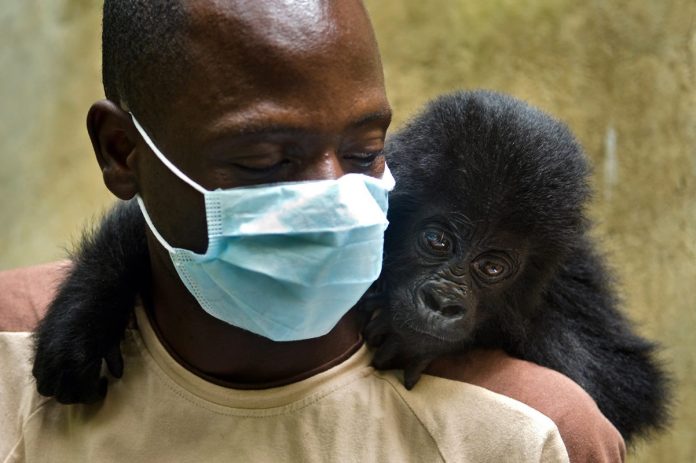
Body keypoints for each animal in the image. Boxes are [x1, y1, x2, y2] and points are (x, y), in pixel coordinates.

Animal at [31, 89, 668, 442]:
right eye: (436, 239)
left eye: (492, 269)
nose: (443, 302)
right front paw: (79, 328)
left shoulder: (572, 269)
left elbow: (625, 384)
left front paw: (420, 335)